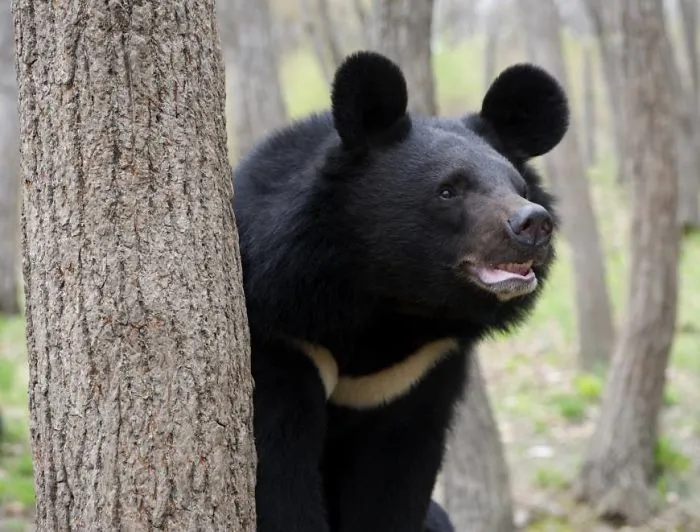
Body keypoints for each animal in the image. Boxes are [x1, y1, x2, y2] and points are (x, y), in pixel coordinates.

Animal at [232, 50, 568, 532]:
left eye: (519, 188)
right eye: (448, 190)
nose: (533, 223)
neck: (394, 304)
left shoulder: (417, 373)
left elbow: (395, 481)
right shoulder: (285, 340)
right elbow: (278, 471)